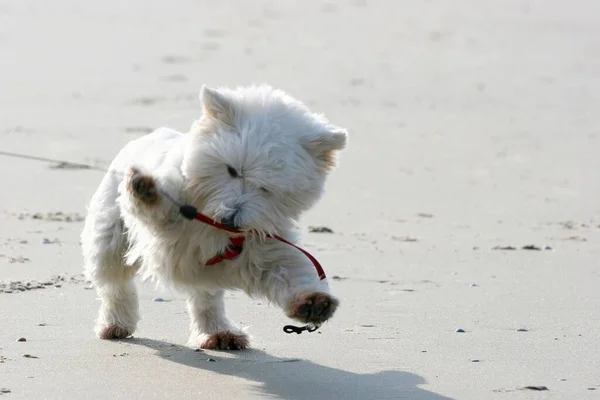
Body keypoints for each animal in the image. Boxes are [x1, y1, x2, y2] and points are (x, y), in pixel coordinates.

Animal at [82, 84, 350, 350]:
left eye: (267, 188)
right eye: (232, 170)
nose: (230, 220)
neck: (211, 222)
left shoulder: (262, 242)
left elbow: (288, 268)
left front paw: (313, 302)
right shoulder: (171, 225)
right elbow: (162, 210)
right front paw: (148, 189)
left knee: (206, 299)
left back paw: (219, 333)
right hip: (110, 235)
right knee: (114, 281)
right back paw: (115, 324)